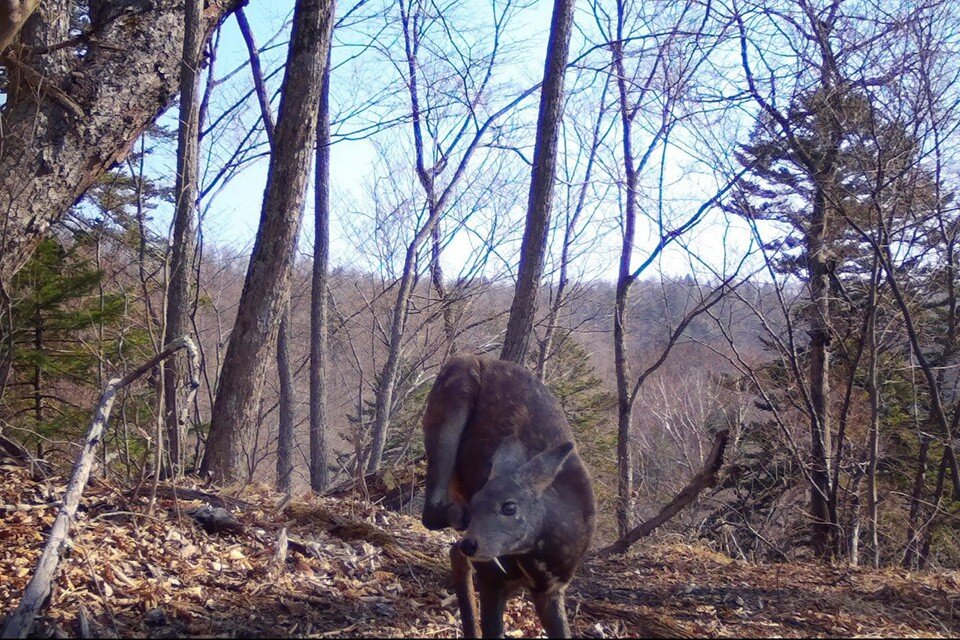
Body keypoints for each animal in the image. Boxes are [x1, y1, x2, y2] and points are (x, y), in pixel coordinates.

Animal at [420, 352, 592, 636]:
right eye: (478, 502)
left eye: (510, 507)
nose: (472, 543)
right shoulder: (492, 578)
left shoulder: (552, 590)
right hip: (451, 397)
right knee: (432, 513)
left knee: (453, 551)